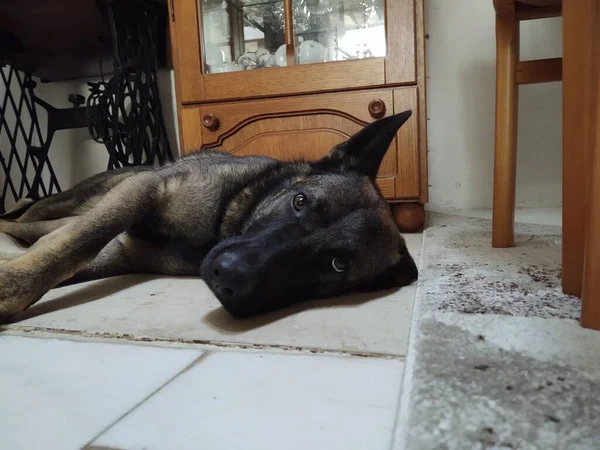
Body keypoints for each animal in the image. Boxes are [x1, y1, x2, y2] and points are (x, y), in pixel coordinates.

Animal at [0, 110, 420, 322]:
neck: (220, 225)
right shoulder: (144, 190)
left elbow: (72, 255)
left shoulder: (119, 256)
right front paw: (14, 285)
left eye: (337, 264)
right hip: (72, 202)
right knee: (30, 220)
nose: (227, 275)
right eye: (300, 202)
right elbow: (78, 242)